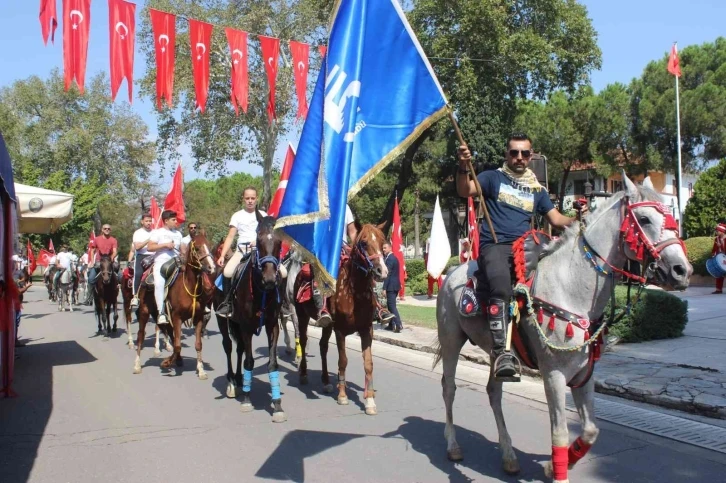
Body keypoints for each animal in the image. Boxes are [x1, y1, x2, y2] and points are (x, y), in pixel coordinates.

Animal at [133, 233, 215, 378]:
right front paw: (166, 362)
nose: (211, 267)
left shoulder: (198, 318)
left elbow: (197, 344)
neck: (189, 287)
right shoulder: (177, 317)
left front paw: (201, 370)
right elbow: (177, 345)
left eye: (210, 246)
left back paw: (179, 359)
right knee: (141, 336)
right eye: (197, 248)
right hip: (144, 311)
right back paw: (137, 365)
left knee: (170, 334)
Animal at [218, 214, 286, 422]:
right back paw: (232, 383)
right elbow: (249, 361)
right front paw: (247, 400)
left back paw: (240, 380)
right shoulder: (247, 326)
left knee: (239, 348)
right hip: (224, 321)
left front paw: (277, 404)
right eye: (259, 239)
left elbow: (272, 363)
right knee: (228, 347)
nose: (270, 279)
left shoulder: (272, 325)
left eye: (279, 242)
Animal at [298, 223, 390, 416]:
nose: (382, 271)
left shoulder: (366, 330)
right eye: (364, 243)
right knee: (303, 340)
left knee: (323, 346)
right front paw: (342, 395)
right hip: (301, 316)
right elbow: (343, 361)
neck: (354, 293)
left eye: (382, 242)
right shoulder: (340, 330)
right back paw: (303, 374)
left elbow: (368, 363)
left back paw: (326, 382)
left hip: (327, 326)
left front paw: (370, 401)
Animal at [432, 175, 692, 483]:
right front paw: (557, 471)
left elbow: (590, 431)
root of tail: (451, 274)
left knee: (494, 392)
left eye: (672, 218)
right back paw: (453, 446)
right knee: (449, 388)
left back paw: (508, 456)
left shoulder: (583, 373)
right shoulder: (554, 374)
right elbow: (560, 433)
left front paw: (552, 466)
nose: (681, 270)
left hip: (497, 353)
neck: (571, 288)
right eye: (644, 218)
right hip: (451, 341)